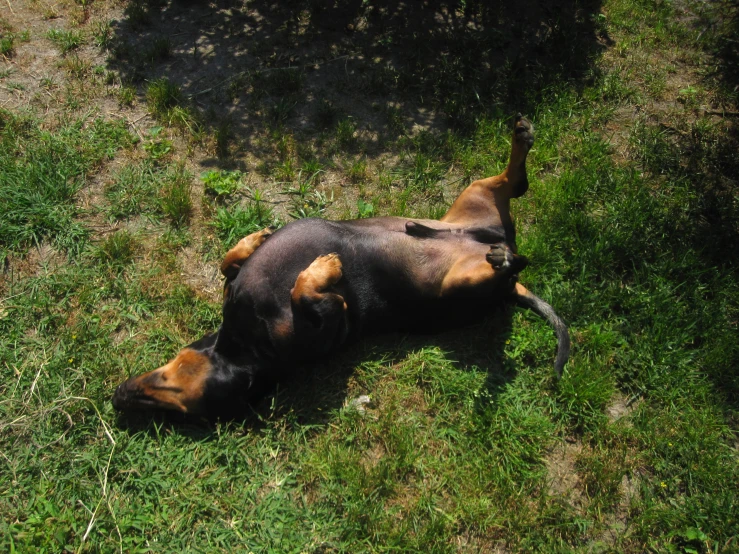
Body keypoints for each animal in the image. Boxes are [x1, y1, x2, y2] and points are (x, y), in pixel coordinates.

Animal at [112, 117, 568, 418]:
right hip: (457, 285)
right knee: (513, 245)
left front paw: (256, 240)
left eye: (161, 398)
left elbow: (229, 265)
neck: (245, 343)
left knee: (514, 185)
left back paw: (520, 141)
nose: (119, 396)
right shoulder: (334, 318)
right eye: (177, 411)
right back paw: (505, 256)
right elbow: (302, 291)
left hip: (472, 197)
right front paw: (323, 267)